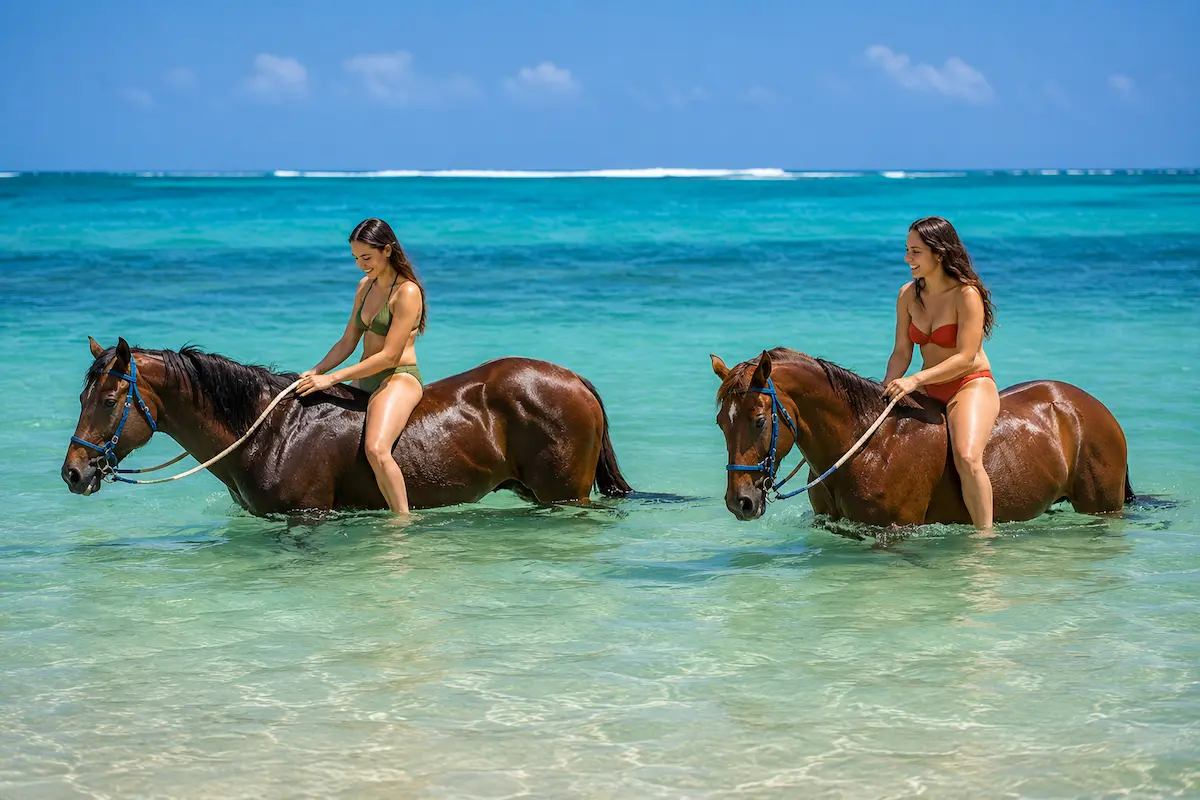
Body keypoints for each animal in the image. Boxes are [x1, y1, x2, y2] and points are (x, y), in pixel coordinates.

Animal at [62, 337, 632, 515]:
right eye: (82, 396)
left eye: (109, 399)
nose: (73, 472)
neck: (272, 432)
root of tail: (573, 379)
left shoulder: (309, 515)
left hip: (564, 494)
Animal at [711, 348, 1133, 527]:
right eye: (720, 423)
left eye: (759, 420)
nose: (739, 502)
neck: (869, 447)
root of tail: (1088, 405)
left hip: (1102, 506)